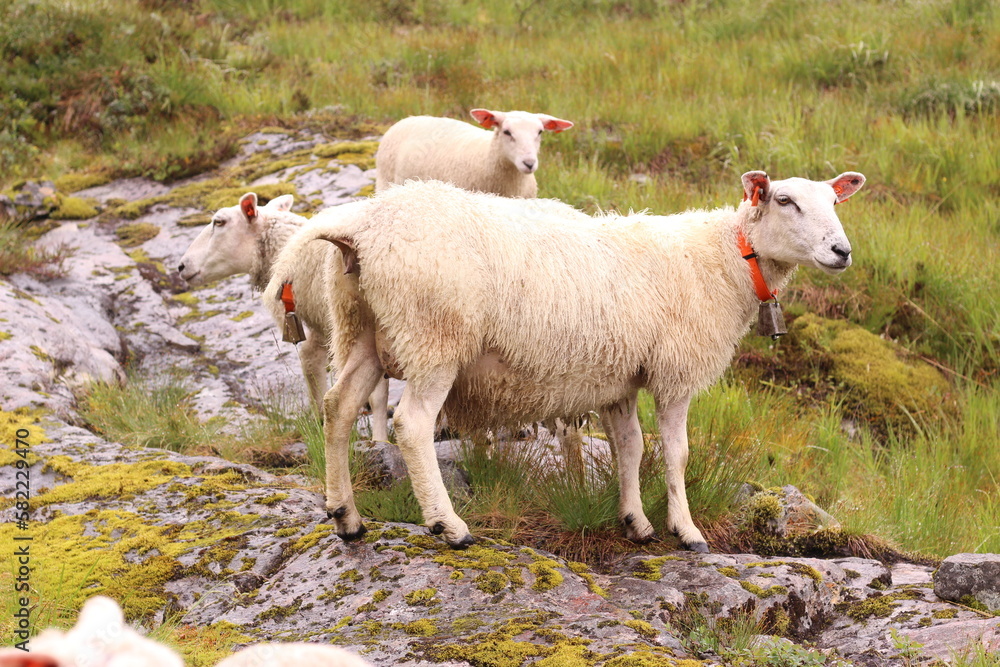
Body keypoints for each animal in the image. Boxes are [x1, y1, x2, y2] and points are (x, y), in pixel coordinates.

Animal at [274, 171, 865, 552]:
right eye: (785, 200)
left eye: (835, 203)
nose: (842, 252)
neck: (723, 257)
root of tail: (363, 227)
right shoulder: (675, 371)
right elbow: (676, 453)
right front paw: (687, 531)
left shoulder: (619, 378)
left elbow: (631, 448)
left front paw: (635, 522)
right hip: (435, 334)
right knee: (412, 424)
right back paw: (449, 526)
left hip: (362, 330)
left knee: (337, 407)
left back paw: (346, 518)